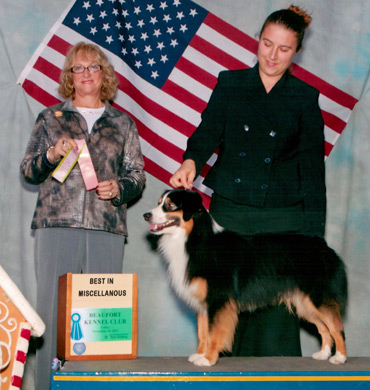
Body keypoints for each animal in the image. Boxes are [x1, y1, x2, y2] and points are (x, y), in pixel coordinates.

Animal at [144, 190, 346, 368]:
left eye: (170, 205)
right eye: (158, 202)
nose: (146, 215)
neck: (195, 240)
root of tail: (322, 245)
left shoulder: (218, 299)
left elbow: (214, 332)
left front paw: (208, 359)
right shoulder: (203, 302)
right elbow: (203, 332)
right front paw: (200, 354)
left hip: (317, 296)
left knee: (336, 326)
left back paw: (340, 357)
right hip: (304, 302)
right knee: (324, 327)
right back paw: (323, 354)